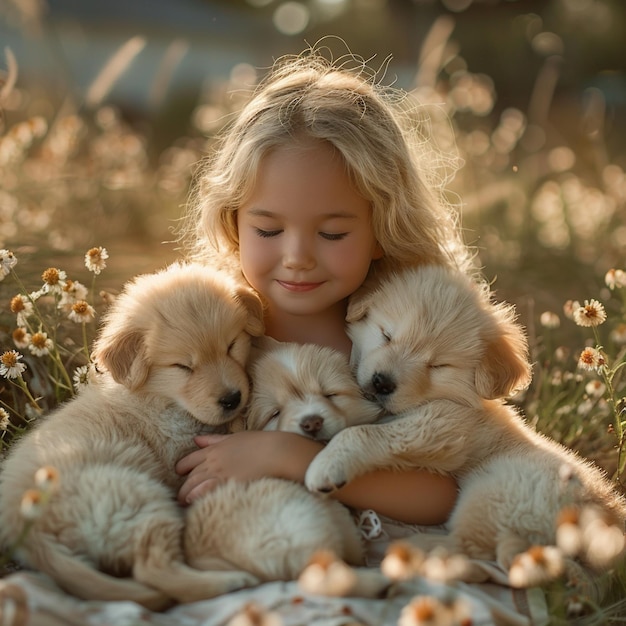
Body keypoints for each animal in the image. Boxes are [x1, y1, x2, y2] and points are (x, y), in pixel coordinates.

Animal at [0, 260, 264, 608]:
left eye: (232, 345)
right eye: (183, 367)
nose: (232, 399)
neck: (160, 398)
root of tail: (28, 528)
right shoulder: (178, 448)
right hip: (139, 496)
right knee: (155, 570)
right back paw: (231, 581)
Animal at [302, 264, 624, 580]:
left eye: (438, 365)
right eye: (386, 335)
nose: (382, 383)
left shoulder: (443, 425)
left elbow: (362, 434)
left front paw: (326, 464)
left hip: (497, 494)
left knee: (474, 550)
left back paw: (412, 548)